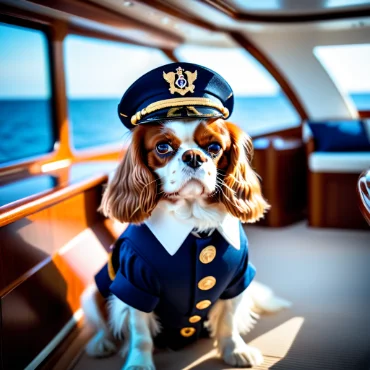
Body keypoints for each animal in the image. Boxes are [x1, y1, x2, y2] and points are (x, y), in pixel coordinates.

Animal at [81, 63, 290, 370]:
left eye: (214, 148)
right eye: (163, 147)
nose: (193, 156)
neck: (192, 224)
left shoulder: (237, 279)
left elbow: (228, 320)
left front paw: (234, 350)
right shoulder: (134, 283)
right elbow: (140, 333)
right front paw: (139, 363)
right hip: (92, 293)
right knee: (101, 323)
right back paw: (100, 344)